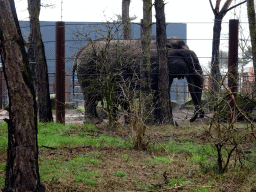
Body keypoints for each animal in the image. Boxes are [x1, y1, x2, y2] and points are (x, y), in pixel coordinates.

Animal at [72, 38, 204, 123]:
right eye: (191, 63)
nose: (192, 120)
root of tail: (79, 53)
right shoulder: (153, 67)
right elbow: (157, 92)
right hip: (88, 70)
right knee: (91, 95)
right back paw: (93, 122)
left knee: (94, 97)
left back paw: (97, 121)